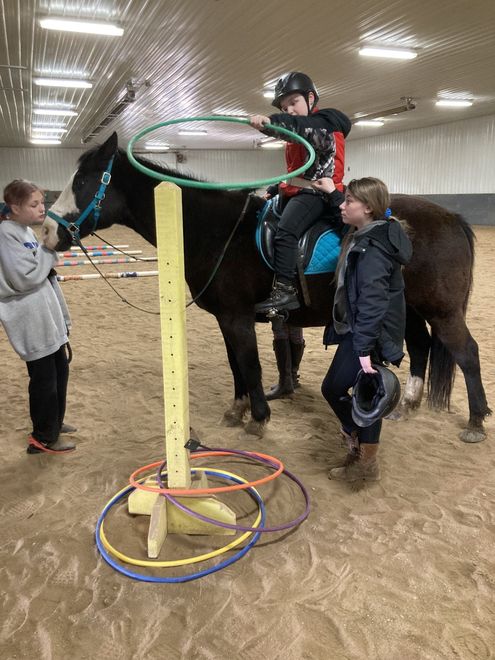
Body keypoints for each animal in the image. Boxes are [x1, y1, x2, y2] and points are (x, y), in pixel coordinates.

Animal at [40, 133, 490, 444]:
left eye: (84, 179)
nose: (47, 231)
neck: (218, 230)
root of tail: (451, 217)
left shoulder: (238, 317)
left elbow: (250, 364)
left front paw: (257, 419)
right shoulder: (226, 318)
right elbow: (235, 364)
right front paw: (237, 409)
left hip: (442, 311)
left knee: (466, 353)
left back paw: (475, 421)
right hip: (411, 308)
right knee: (421, 347)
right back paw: (409, 404)